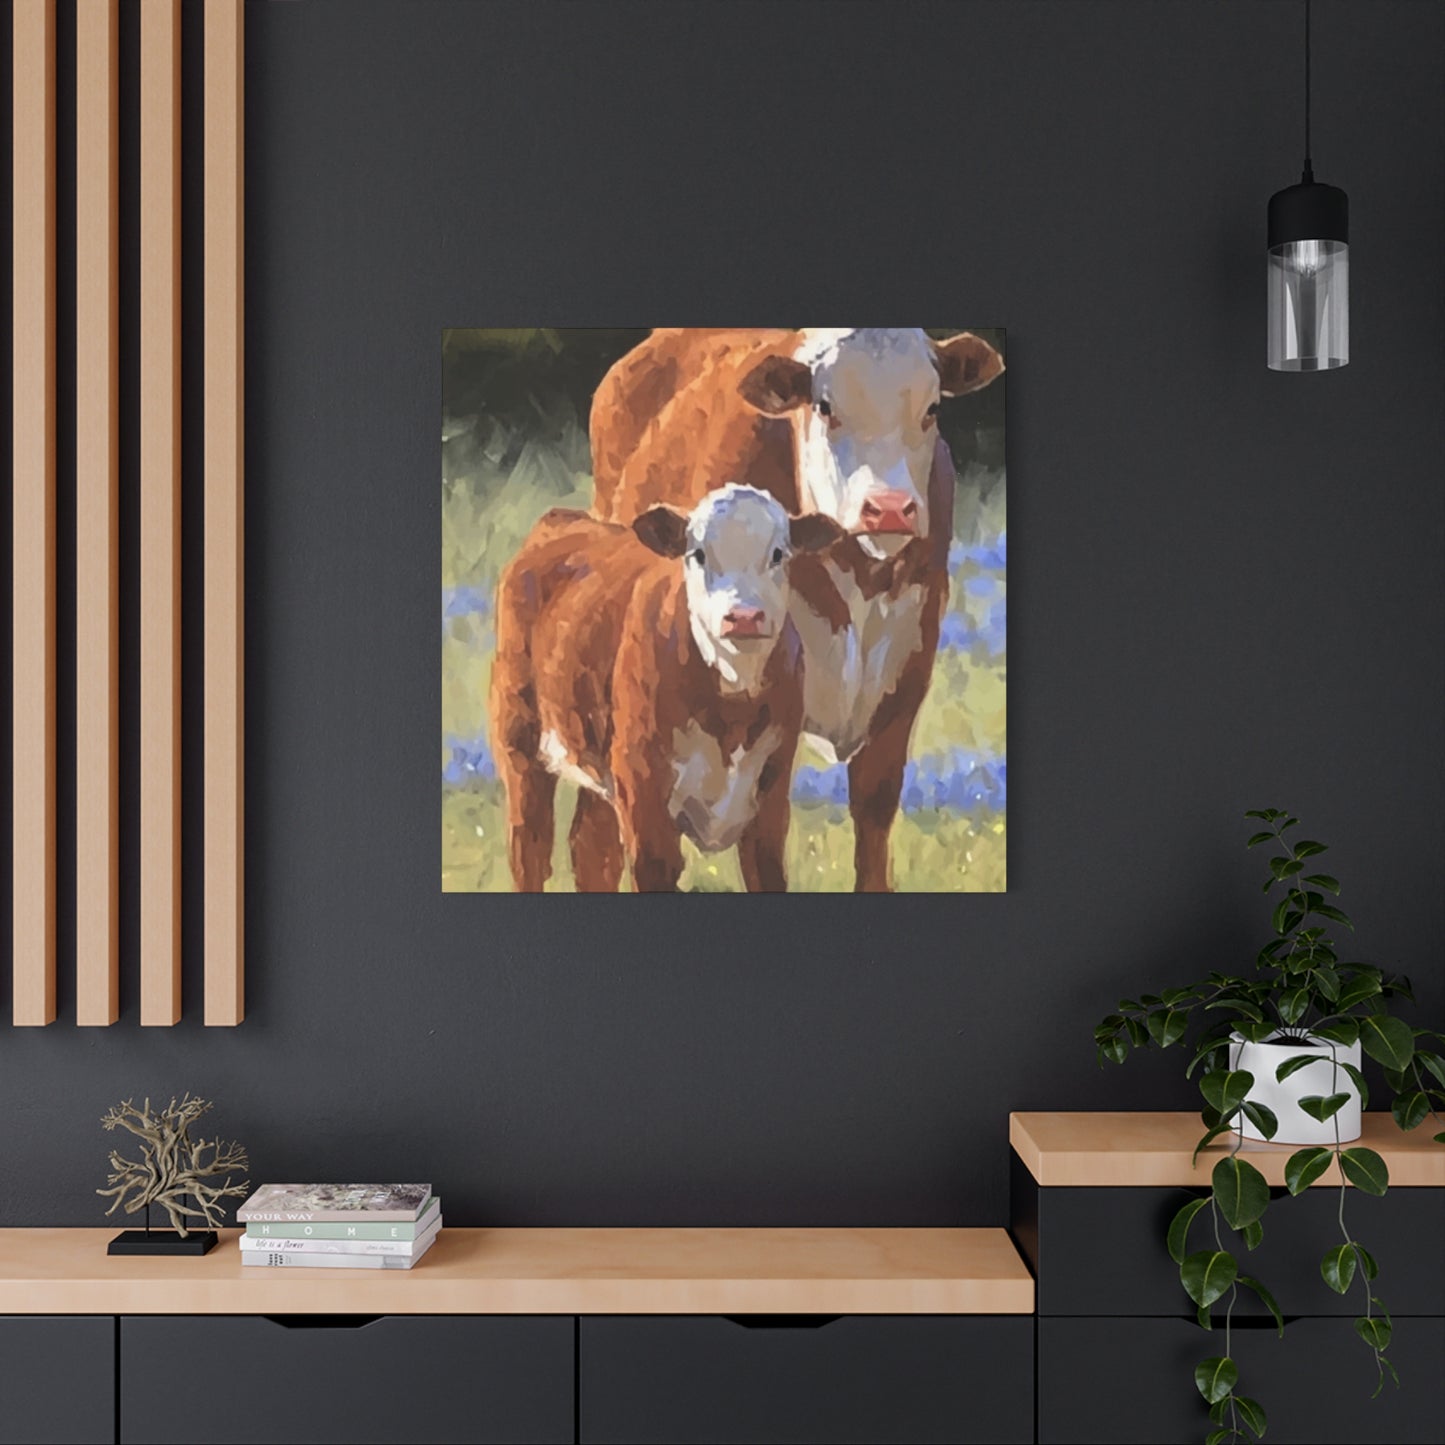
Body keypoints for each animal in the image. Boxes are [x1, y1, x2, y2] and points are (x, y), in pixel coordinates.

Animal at [490, 485, 844, 892]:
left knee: (592, 851)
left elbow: (766, 872)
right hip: (518, 739)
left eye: (778, 554)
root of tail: (563, 519)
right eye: (698, 554)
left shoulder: (773, 786)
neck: (732, 702)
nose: (743, 618)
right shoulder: (640, 783)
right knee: (529, 850)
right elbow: (656, 870)